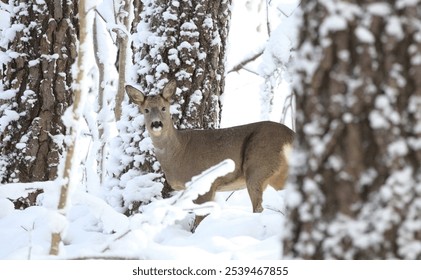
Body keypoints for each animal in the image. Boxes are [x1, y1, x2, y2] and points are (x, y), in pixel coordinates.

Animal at [126, 80, 294, 229]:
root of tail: (290, 136)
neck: (178, 152)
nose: (156, 124)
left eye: (163, 108)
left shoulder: (205, 184)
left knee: (258, 207)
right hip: (277, 174)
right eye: (146, 110)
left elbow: (199, 220)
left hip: (258, 167)